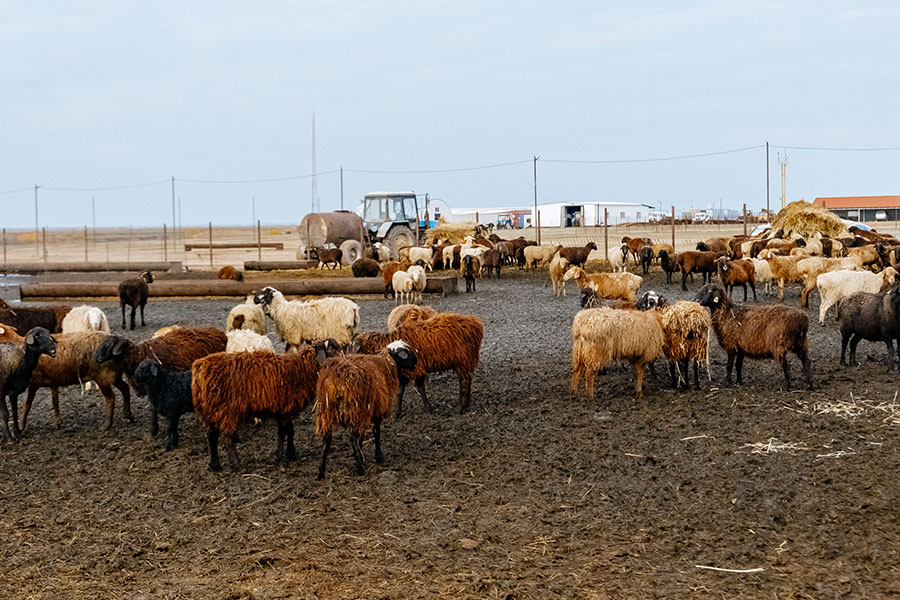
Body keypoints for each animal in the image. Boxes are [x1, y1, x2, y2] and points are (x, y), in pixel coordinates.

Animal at [192, 340, 342, 472]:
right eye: (332, 348)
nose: (343, 364)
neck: (302, 368)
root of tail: (201, 366)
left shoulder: (284, 409)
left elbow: (289, 431)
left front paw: (290, 454)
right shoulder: (284, 407)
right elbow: (284, 432)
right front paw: (281, 458)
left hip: (212, 409)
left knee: (211, 436)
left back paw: (214, 465)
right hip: (228, 410)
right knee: (227, 438)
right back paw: (236, 465)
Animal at [350, 312, 486, 414]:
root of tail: (475, 323)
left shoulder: (416, 368)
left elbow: (420, 389)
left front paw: (428, 407)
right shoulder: (403, 372)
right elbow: (400, 391)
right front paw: (397, 412)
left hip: (462, 360)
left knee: (464, 382)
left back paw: (460, 407)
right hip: (465, 361)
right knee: (468, 380)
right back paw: (466, 404)